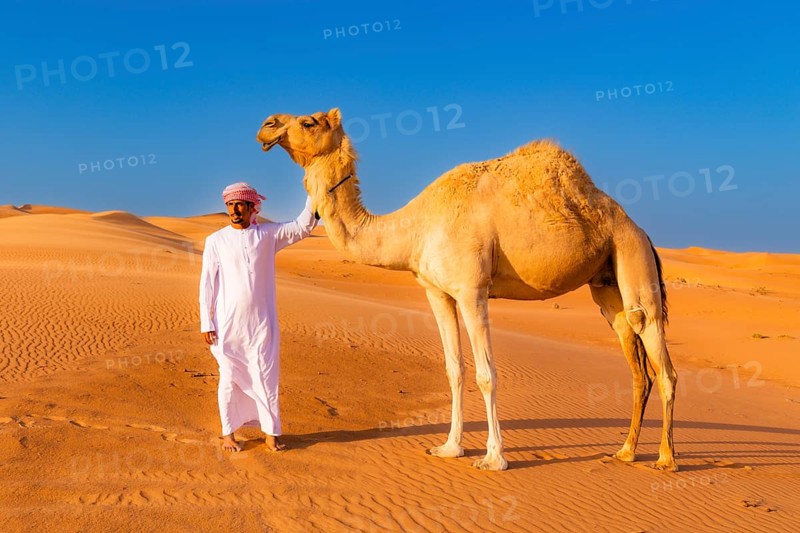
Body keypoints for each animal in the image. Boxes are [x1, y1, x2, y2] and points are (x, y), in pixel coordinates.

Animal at [256, 108, 678, 472]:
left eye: (308, 122)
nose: (266, 125)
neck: (415, 227)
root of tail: (641, 230)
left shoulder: (472, 290)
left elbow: (486, 374)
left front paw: (494, 458)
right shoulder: (437, 292)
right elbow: (454, 369)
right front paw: (449, 447)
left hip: (632, 256)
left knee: (661, 358)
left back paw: (666, 459)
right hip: (608, 286)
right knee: (636, 361)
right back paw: (625, 452)